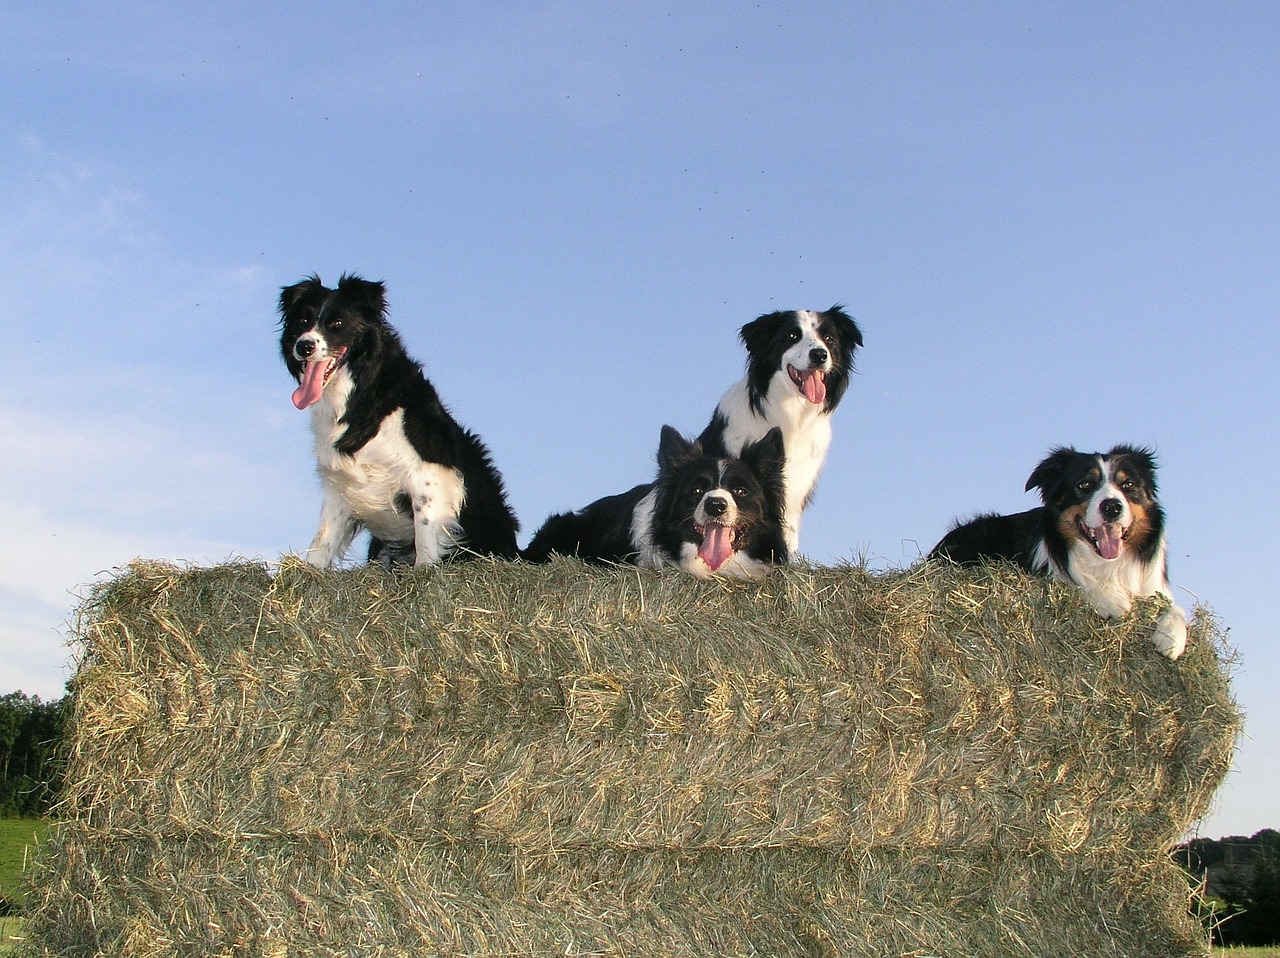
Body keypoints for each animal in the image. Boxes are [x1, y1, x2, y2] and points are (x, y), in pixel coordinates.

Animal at [280, 272, 519, 566]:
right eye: (303, 321)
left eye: (337, 323)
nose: (304, 346)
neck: (359, 393)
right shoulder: (339, 486)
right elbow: (322, 541)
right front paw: (308, 570)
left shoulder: (429, 474)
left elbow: (425, 536)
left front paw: (425, 570)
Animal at [931, 448, 1187, 660]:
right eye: (1084, 485)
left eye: (1129, 485)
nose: (1112, 507)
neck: (1106, 563)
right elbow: (1078, 583)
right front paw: (1112, 601)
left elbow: (1177, 609)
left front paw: (1171, 637)